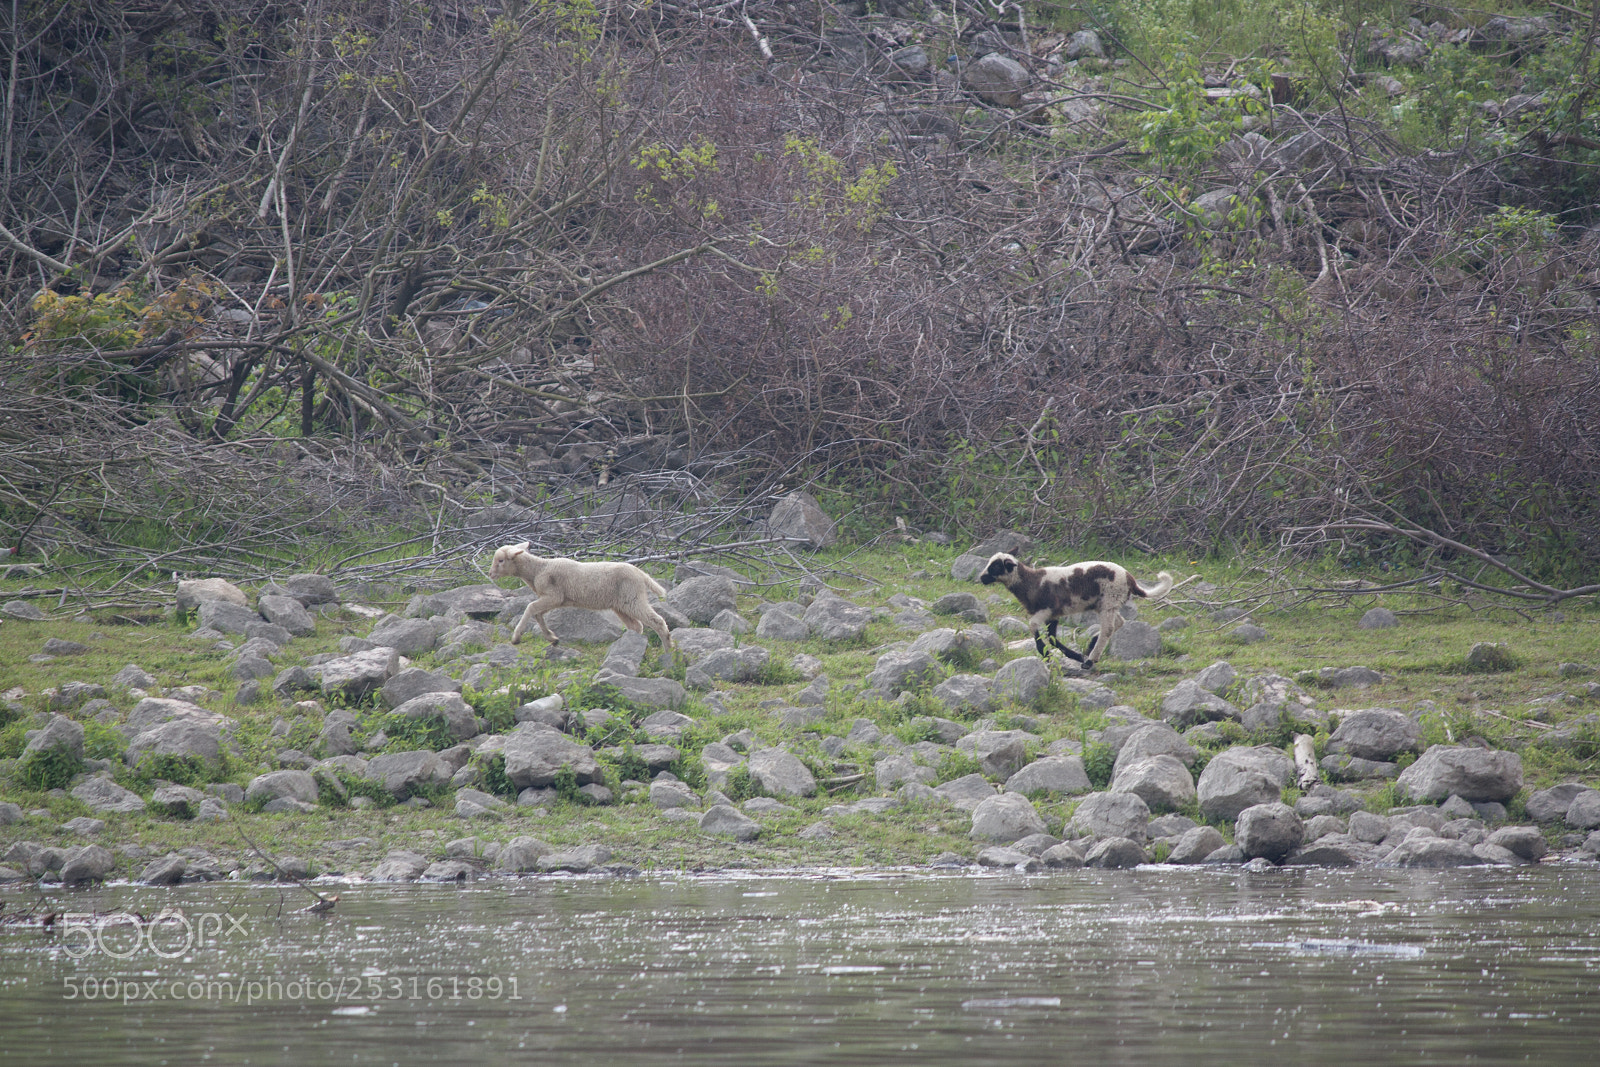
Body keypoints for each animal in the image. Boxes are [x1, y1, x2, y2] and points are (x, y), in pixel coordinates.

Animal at [488, 542, 672, 652]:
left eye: (501, 561)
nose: (490, 574)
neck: (539, 569)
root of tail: (641, 574)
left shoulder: (553, 595)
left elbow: (530, 607)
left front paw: (516, 637)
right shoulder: (556, 599)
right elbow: (538, 614)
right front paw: (552, 638)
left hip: (632, 598)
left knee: (657, 621)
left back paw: (669, 651)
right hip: (621, 605)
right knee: (637, 626)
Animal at [979, 552, 1173, 670]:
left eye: (996, 566)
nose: (981, 578)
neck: (1031, 582)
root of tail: (1129, 578)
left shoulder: (1047, 609)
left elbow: (1034, 627)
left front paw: (1046, 654)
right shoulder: (1054, 614)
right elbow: (1052, 637)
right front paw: (1072, 655)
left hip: (1109, 600)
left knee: (1108, 629)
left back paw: (1090, 659)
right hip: (1106, 603)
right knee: (1119, 622)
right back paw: (1090, 647)